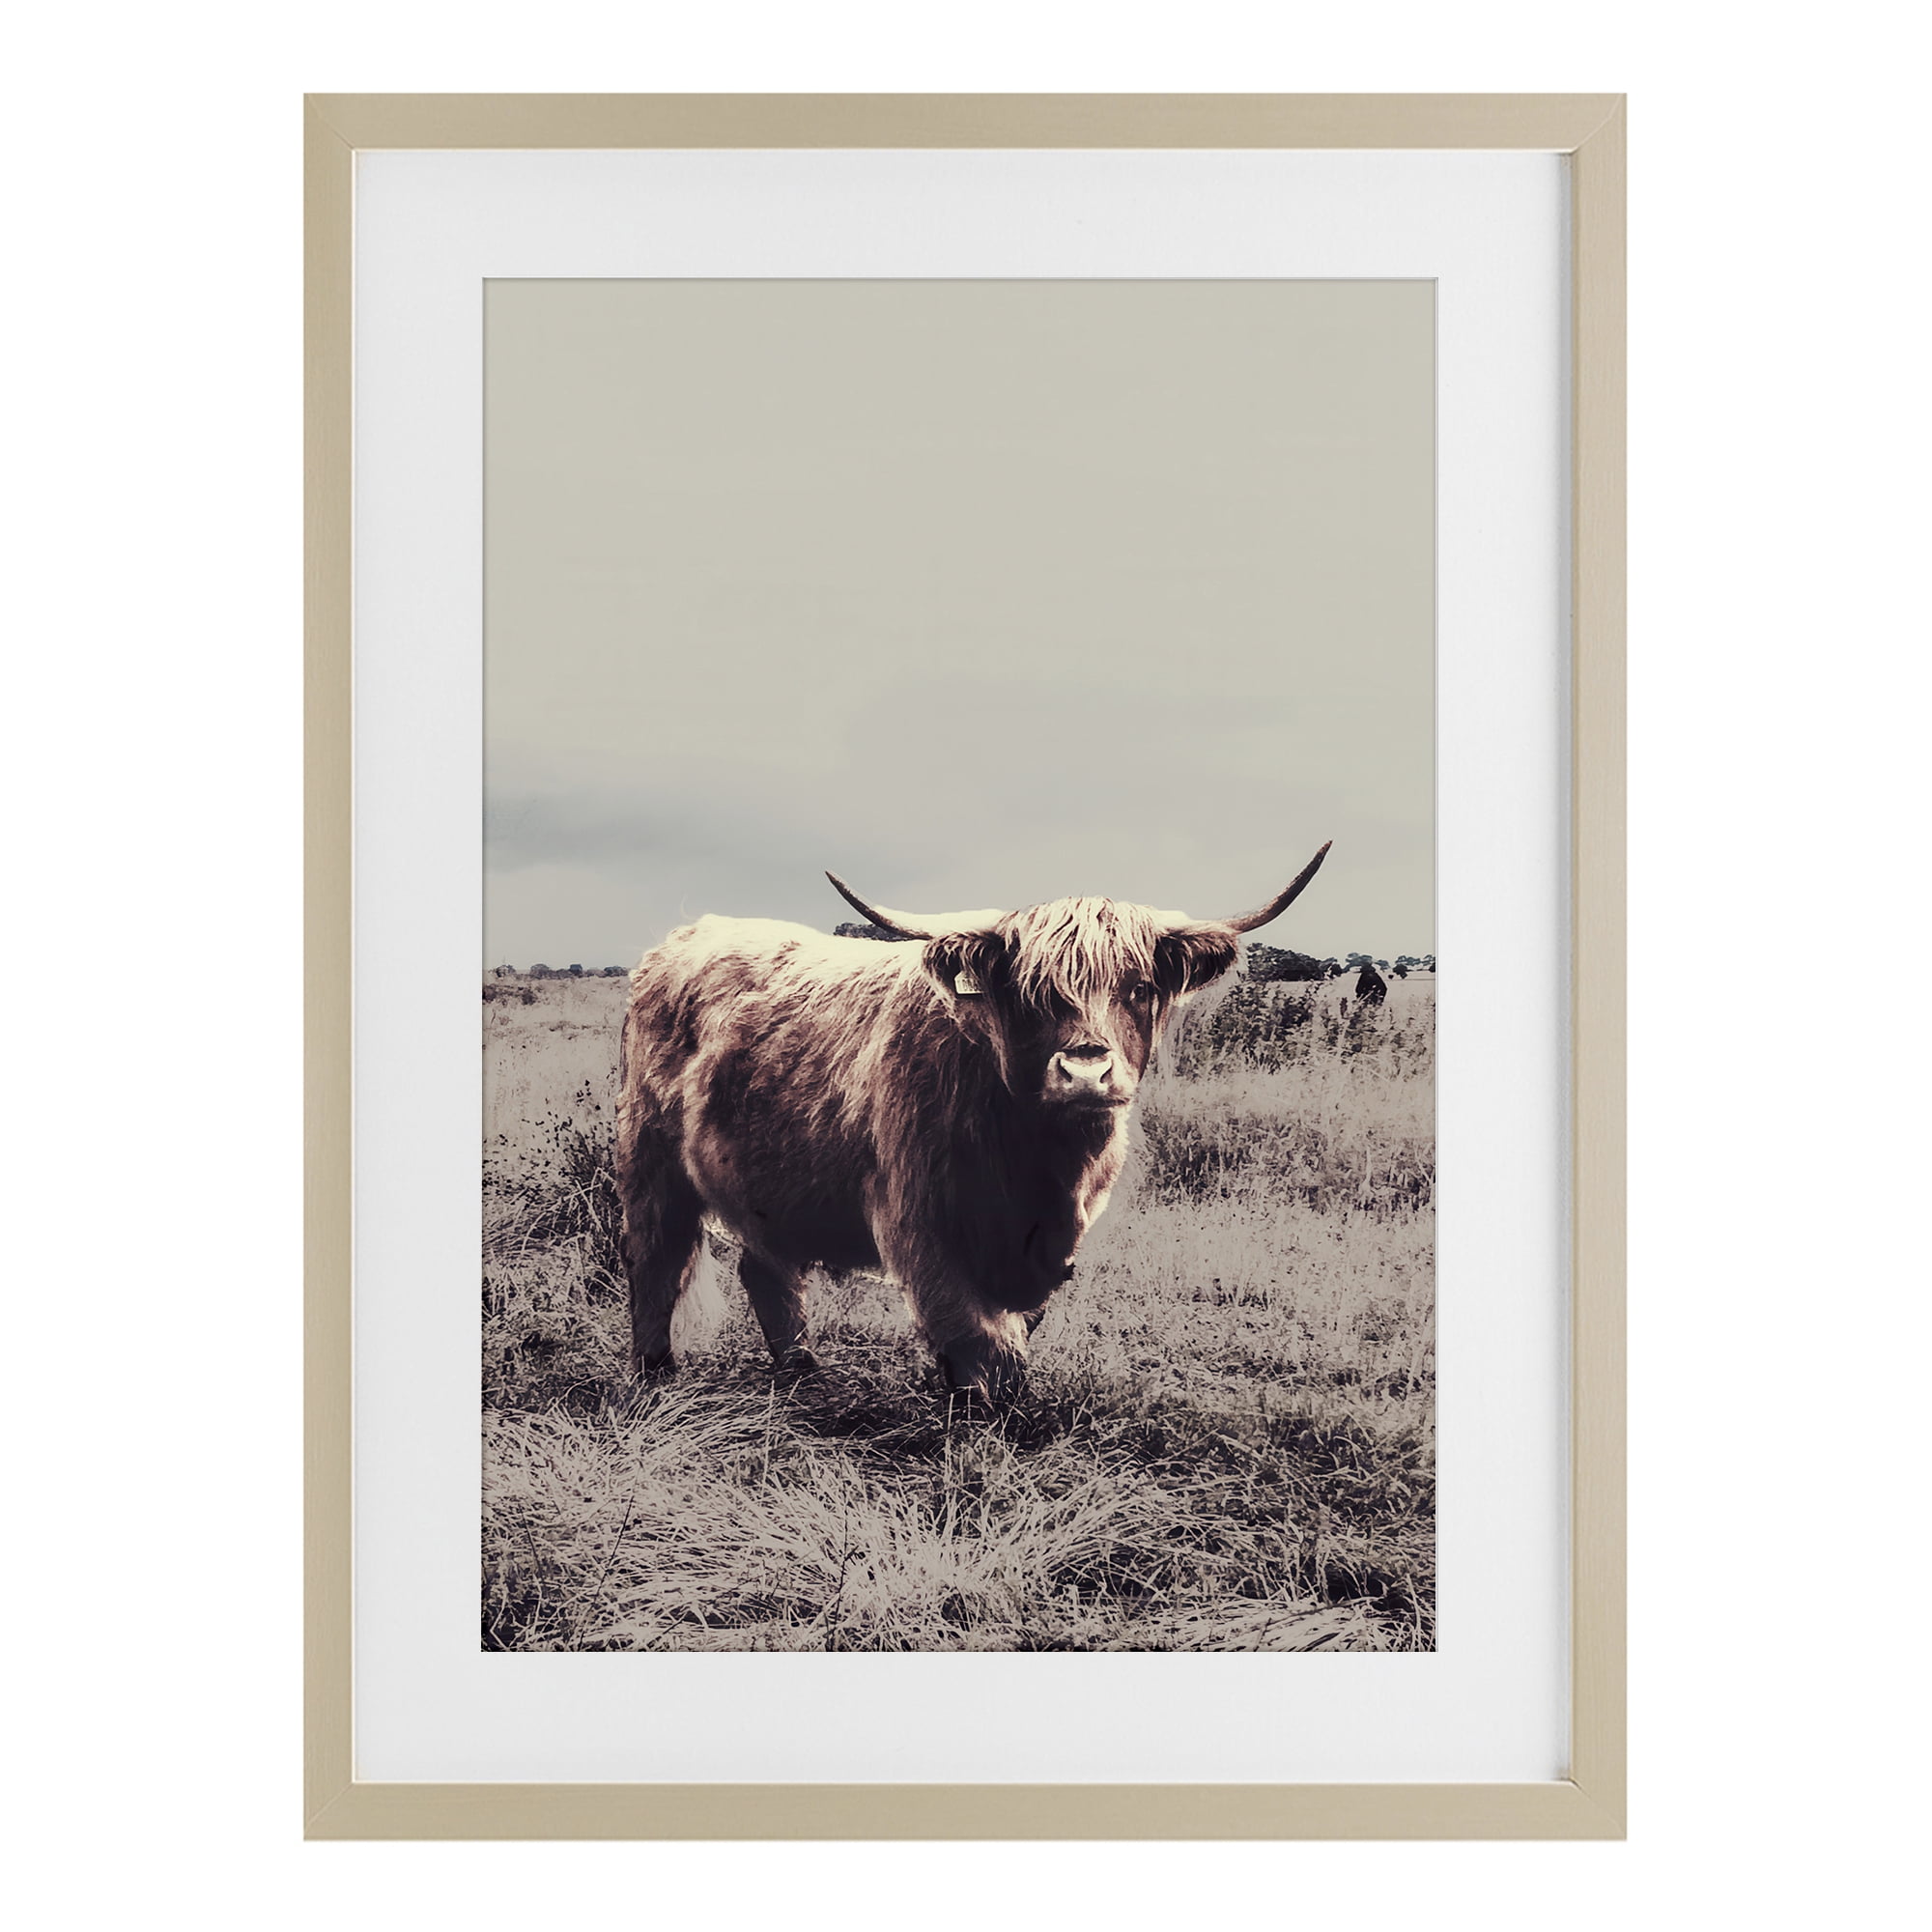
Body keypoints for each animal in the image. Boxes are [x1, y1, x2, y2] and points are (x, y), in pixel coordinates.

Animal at [613, 843, 1330, 1399]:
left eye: (1140, 988)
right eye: (1030, 994)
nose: (1086, 1073)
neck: (1038, 1164)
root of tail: (687, 936)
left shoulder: (1053, 1242)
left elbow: (1016, 1327)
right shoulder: (919, 1223)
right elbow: (979, 1338)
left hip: (766, 1182)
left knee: (767, 1271)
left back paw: (803, 1375)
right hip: (650, 1159)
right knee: (655, 1260)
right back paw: (655, 1375)